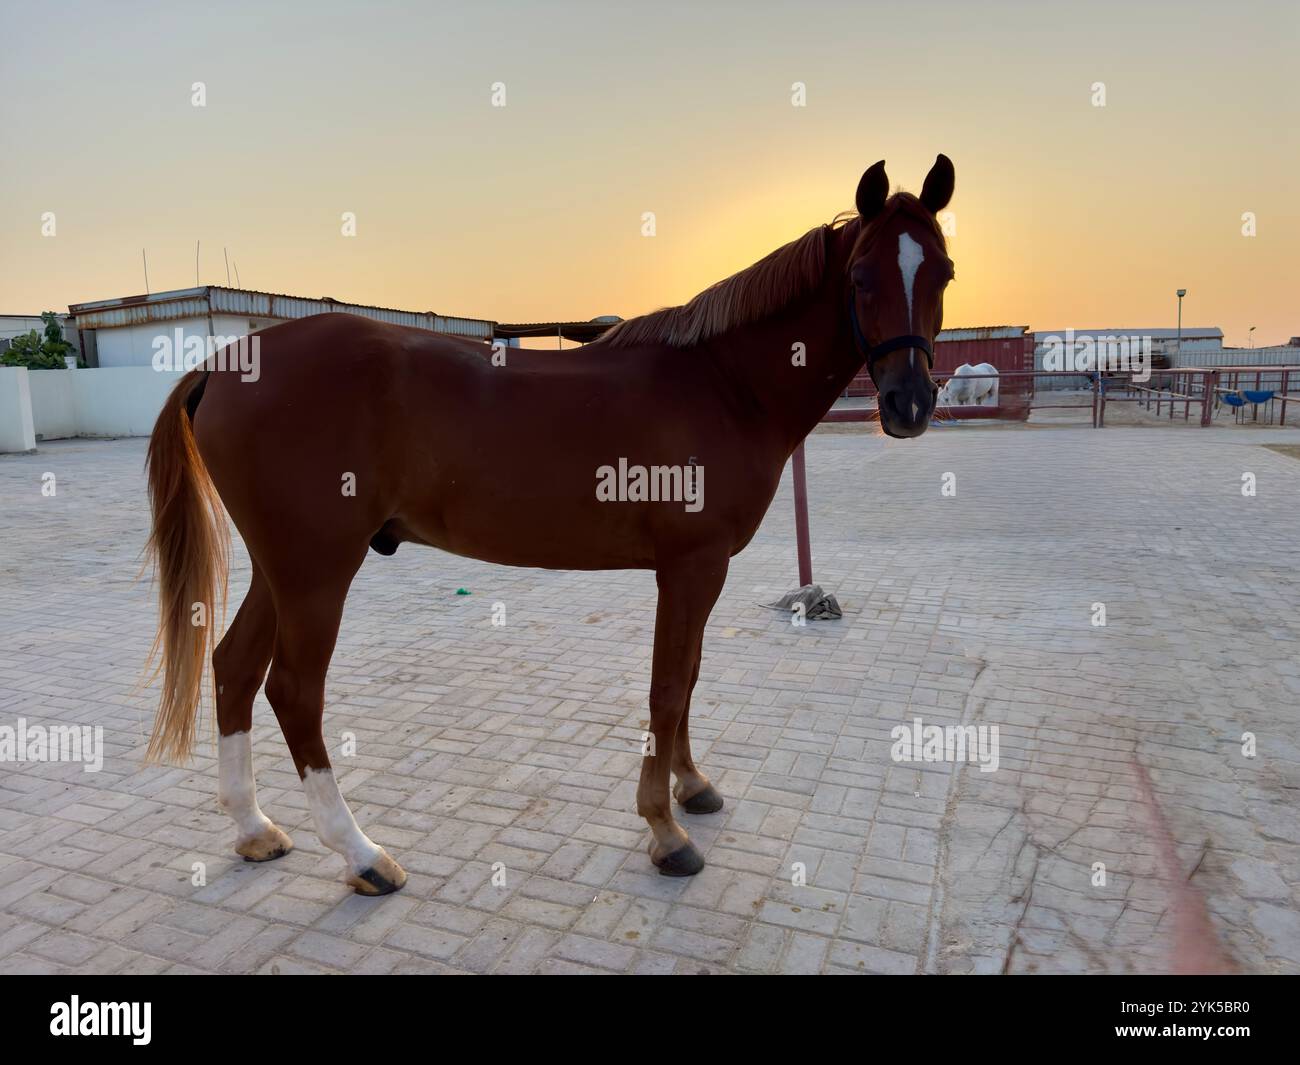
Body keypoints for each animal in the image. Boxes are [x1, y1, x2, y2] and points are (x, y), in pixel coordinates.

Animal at [147, 154, 956, 894]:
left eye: (943, 273)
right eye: (862, 279)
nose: (910, 404)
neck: (723, 384)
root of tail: (224, 362)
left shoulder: (703, 570)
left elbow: (689, 676)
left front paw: (692, 787)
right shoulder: (691, 565)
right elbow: (668, 687)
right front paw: (666, 831)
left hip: (282, 567)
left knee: (234, 669)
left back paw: (256, 829)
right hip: (317, 570)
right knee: (293, 691)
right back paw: (363, 855)